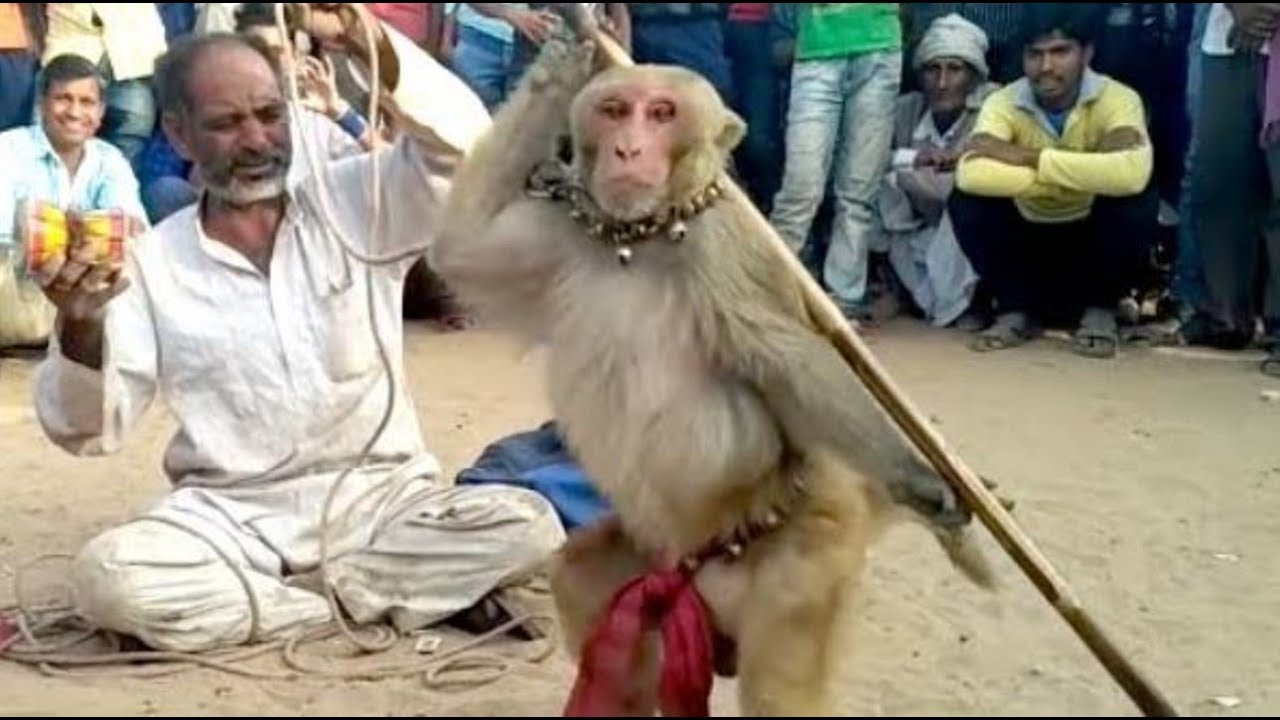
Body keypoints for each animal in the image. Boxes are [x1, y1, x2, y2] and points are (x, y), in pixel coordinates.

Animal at [429, 35, 994, 716]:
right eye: (615, 110)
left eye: (661, 114)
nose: (627, 149)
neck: (639, 233)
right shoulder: (558, 233)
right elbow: (461, 250)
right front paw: (569, 49)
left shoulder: (728, 242)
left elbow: (786, 359)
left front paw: (921, 483)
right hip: (653, 562)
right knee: (583, 581)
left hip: (806, 561)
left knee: (781, 688)